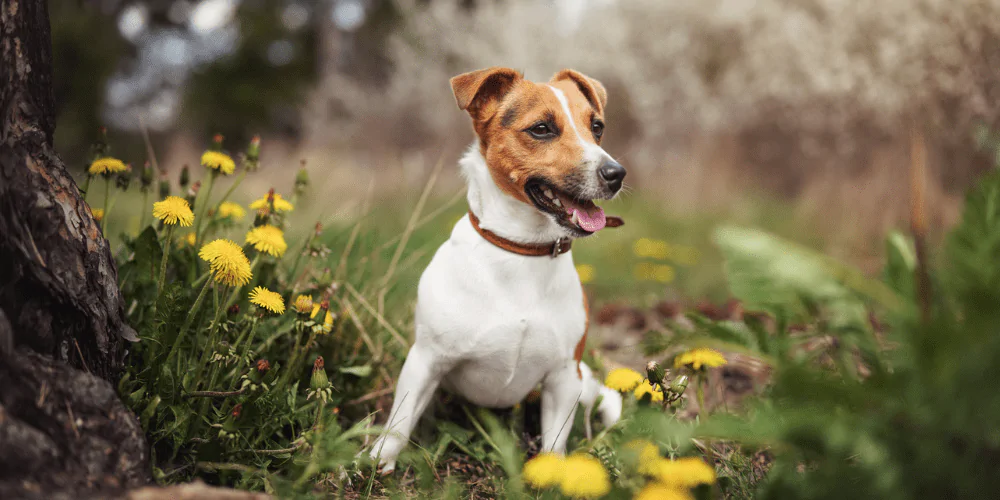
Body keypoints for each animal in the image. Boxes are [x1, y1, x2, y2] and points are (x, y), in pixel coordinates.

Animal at [372, 67, 628, 472]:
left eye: (597, 127)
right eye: (541, 129)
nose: (616, 173)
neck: (522, 250)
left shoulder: (563, 378)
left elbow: (555, 444)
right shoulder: (425, 361)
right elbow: (399, 423)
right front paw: (374, 464)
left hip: (583, 382)